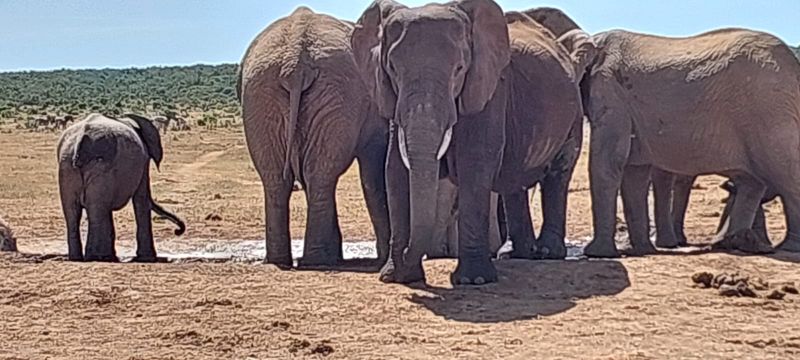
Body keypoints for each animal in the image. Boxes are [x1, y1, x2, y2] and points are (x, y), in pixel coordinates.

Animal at [57, 113, 186, 262]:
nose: (177, 231)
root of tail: (81, 138)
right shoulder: (144, 161)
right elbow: (141, 199)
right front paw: (147, 258)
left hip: (67, 165)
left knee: (74, 212)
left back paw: (79, 258)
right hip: (98, 166)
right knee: (96, 209)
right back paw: (98, 257)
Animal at [236, 7, 390, 268]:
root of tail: (294, 60)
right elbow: (373, 173)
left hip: (268, 94)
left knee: (287, 178)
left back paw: (293, 260)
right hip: (311, 93)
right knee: (312, 176)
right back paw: (310, 260)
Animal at [354, 0, 588, 286]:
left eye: (459, 69)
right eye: (393, 70)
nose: (409, 252)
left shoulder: (488, 89)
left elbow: (474, 164)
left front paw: (474, 280)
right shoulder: (392, 99)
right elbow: (395, 169)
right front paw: (397, 277)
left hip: (573, 111)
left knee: (558, 174)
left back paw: (546, 253)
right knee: (514, 184)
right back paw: (515, 254)